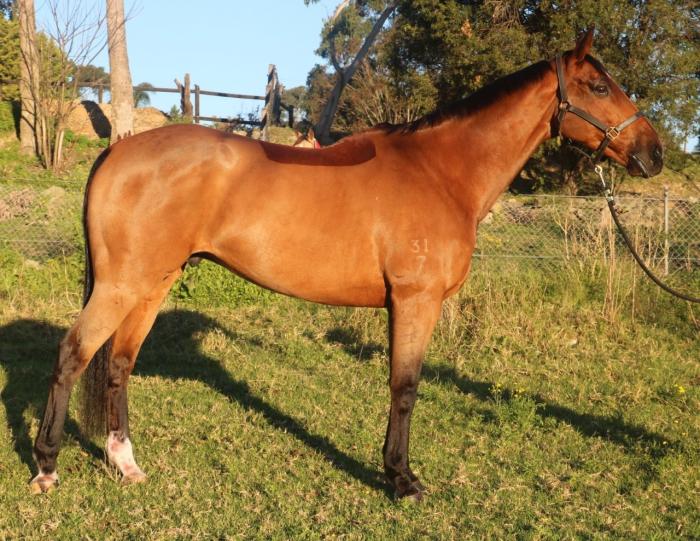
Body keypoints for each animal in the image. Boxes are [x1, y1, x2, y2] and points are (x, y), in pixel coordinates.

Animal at [30, 29, 662, 499]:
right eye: (598, 85)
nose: (653, 154)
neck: (441, 171)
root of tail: (119, 150)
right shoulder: (414, 300)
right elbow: (405, 386)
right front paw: (402, 479)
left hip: (153, 283)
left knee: (118, 364)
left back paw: (125, 464)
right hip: (123, 283)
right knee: (71, 355)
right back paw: (46, 466)